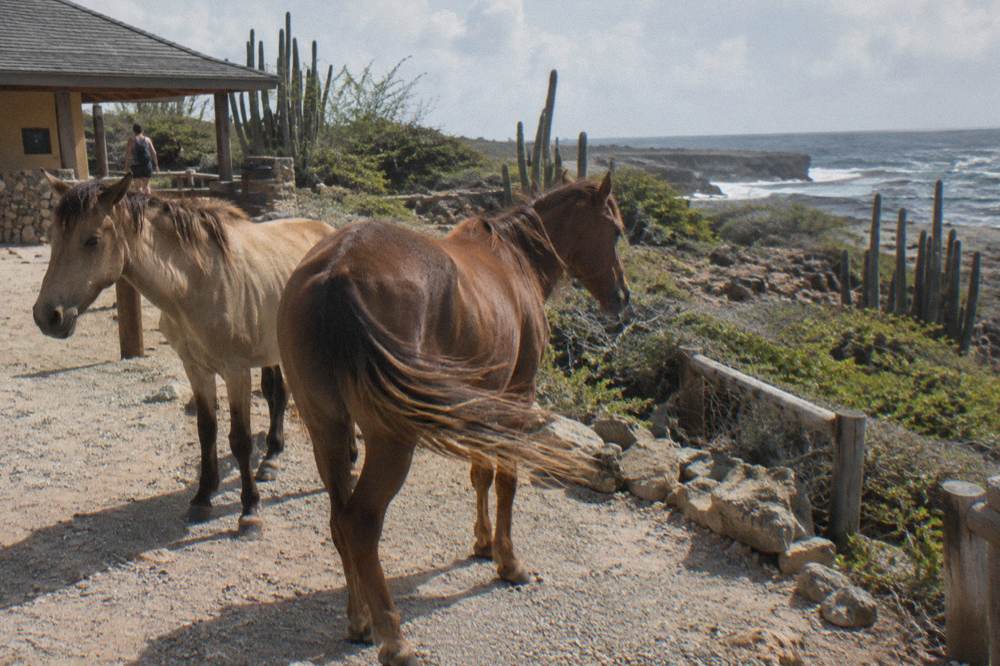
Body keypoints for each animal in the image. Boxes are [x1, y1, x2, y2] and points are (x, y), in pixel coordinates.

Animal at [33, 173, 335, 537]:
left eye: (91, 240)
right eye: (54, 239)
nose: (47, 316)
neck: (196, 282)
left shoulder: (235, 371)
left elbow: (240, 439)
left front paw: (250, 510)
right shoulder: (196, 368)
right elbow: (207, 431)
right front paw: (203, 497)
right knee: (276, 393)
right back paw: (272, 458)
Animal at [277, 172, 629, 664]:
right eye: (615, 231)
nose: (622, 298)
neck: (516, 259)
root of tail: (336, 271)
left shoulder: (483, 400)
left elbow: (480, 474)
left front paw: (482, 543)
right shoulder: (518, 396)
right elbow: (507, 480)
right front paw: (508, 561)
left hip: (326, 428)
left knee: (338, 520)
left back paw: (360, 620)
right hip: (389, 439)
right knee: (359, 524)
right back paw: (393, 637)